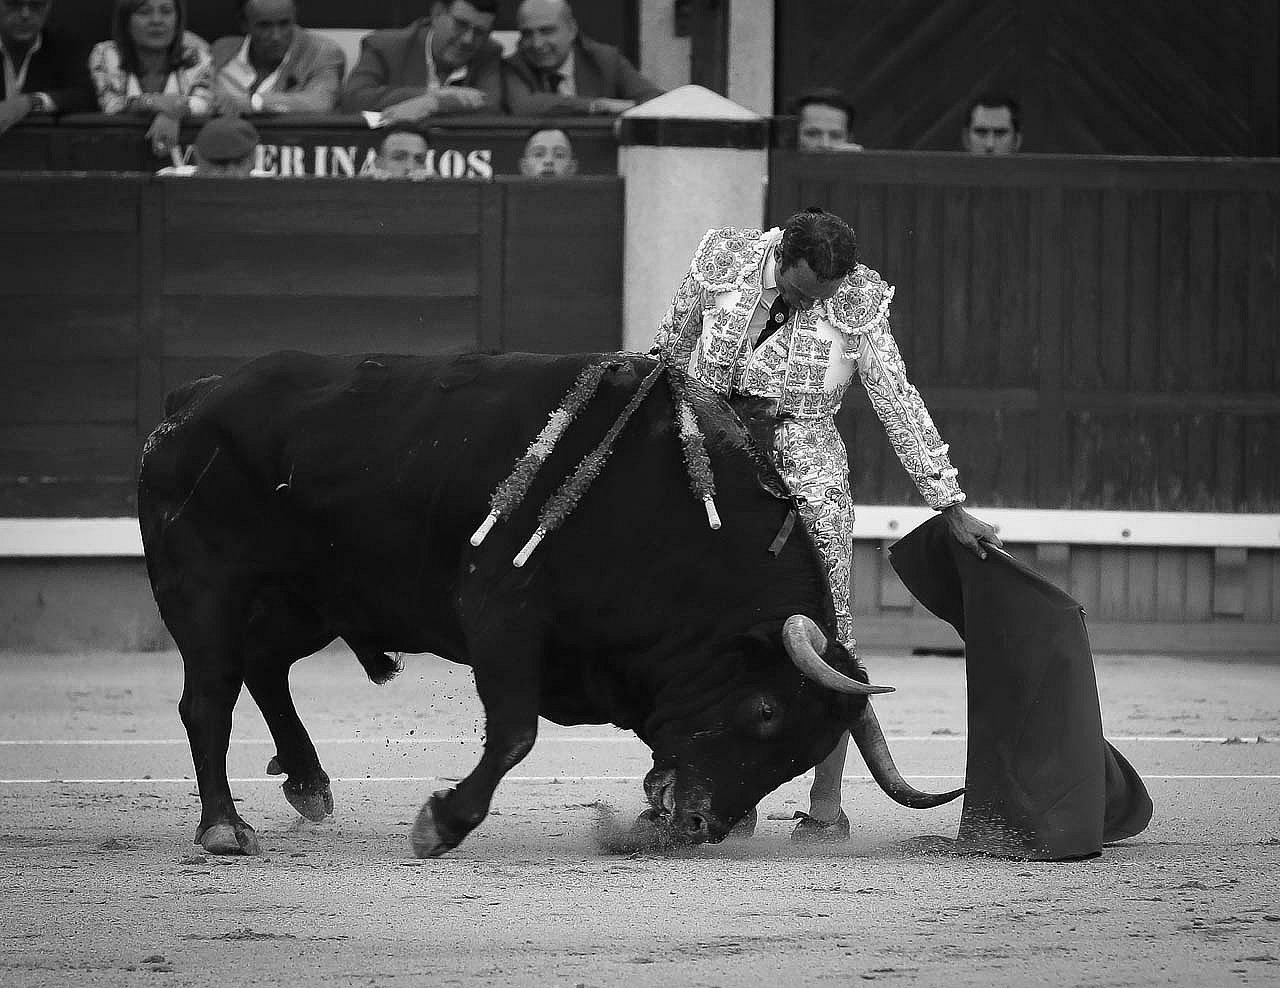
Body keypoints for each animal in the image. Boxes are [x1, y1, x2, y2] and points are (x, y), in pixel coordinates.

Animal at [138, 350, 960, 857]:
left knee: (263, 667)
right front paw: (440, 824)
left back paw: (308, 785)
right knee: (207, 696)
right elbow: (515, 734)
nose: (698, 826)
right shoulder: (500, 613)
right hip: (207, 589)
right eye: (763, 711)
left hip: (312, 600)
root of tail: (191, 400)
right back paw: (225, 829)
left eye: (802, 755)